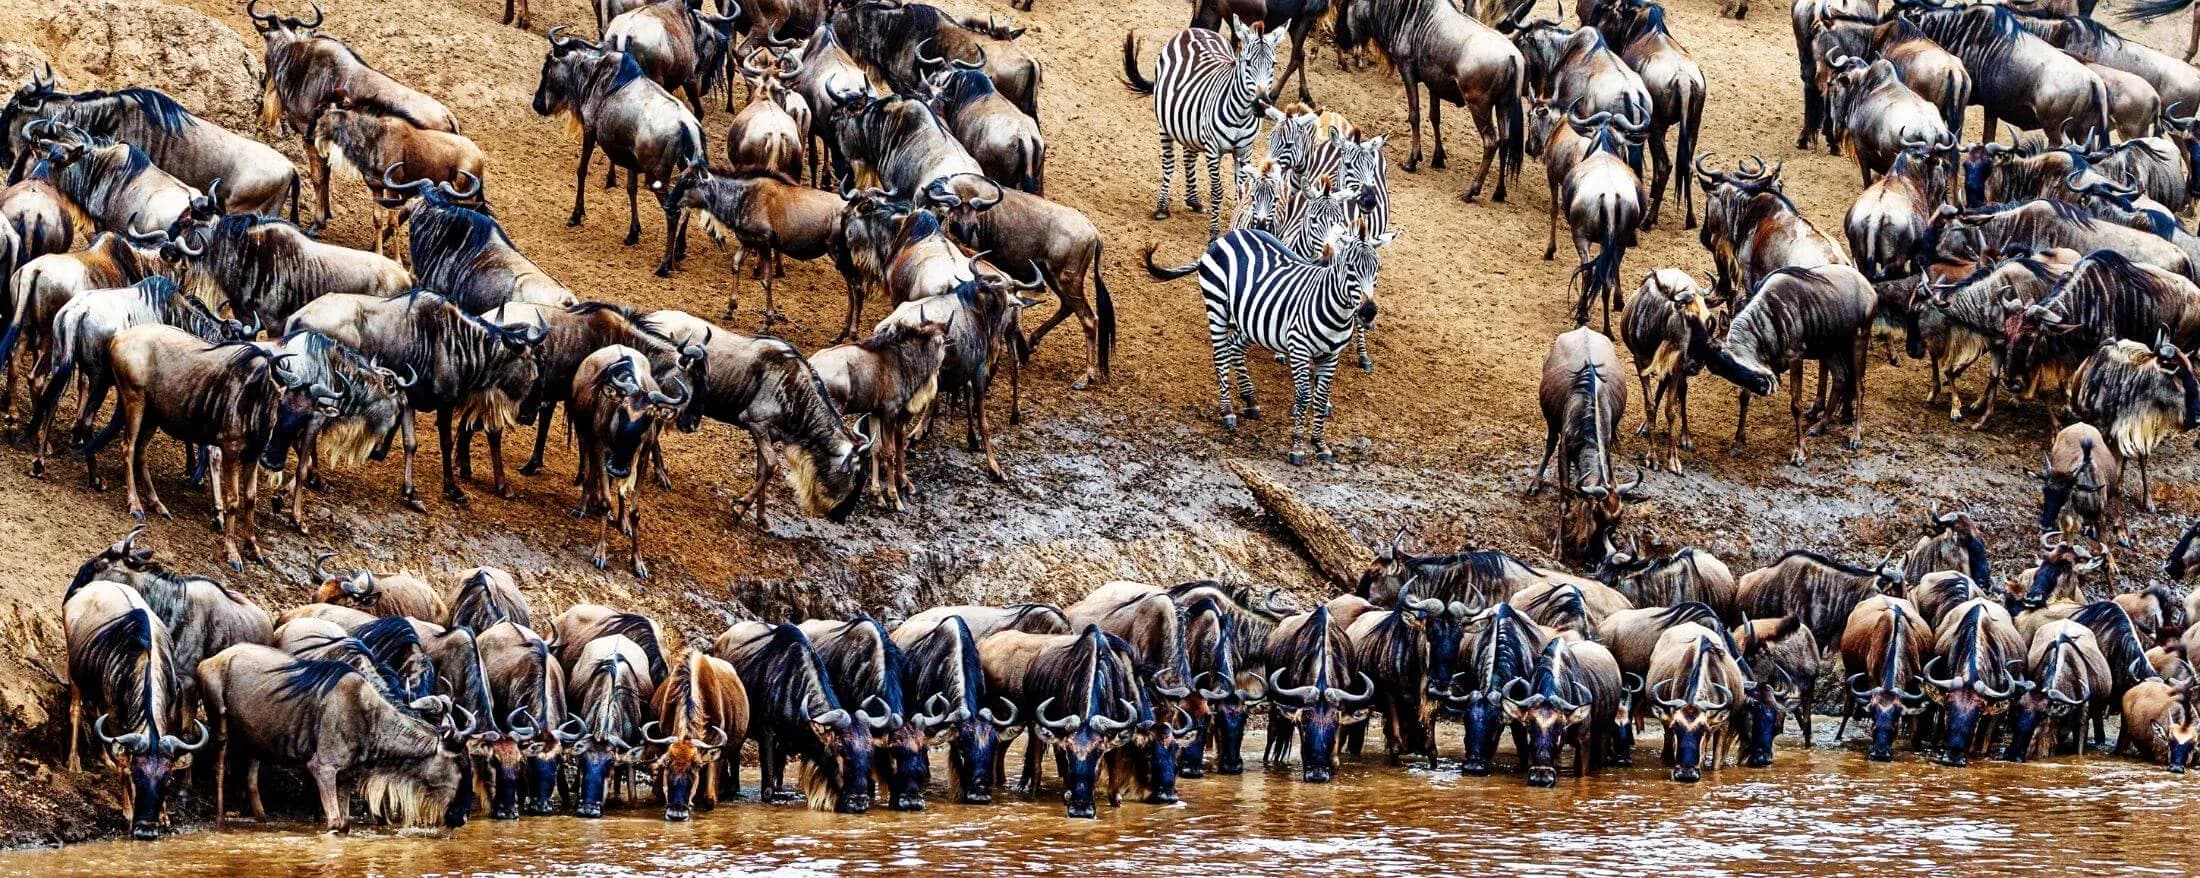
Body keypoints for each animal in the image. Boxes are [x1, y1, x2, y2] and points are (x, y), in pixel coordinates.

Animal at [1123, 20, 1285, 242]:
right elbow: (1217, 190)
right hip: (1165, 124)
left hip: (1189, 127)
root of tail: (1194, 30)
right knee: (1169, 163)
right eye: (1247, 63)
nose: (1261, 105)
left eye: (1273, 64)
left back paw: (1193, 200)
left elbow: (1242, 192)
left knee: (1188, 157)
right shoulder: (1212, 148)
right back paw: (1162, 207)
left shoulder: (1244, 150)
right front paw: (1214, 233)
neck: (1241, 114)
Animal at [1143, 227, 1400, 465]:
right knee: (1220, 355)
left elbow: (1320, 397)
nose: (1368, 313)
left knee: (1234, 348)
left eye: (1377, 268)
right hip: (1217, 306)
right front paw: (1297, 447)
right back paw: (1227, 411)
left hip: (1252, 320)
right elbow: (1304, 397)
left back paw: (1250, 400)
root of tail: (1228, 236)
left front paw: (1320, 444)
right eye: (1350, 267)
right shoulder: (1299, 348)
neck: (1336, 311)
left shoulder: (1331, 355)